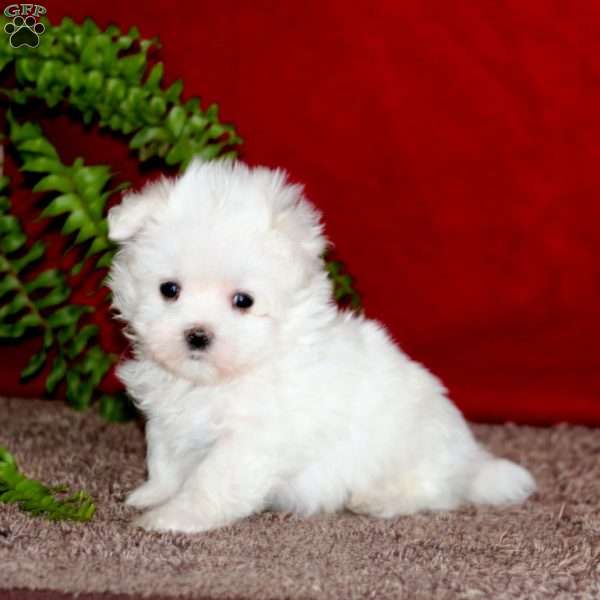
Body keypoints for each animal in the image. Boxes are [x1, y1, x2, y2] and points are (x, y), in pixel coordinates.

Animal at [106, 159, 536, 536]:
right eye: (169, 290)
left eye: (243, 301)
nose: (197, 334)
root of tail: (470, 463)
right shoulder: (167, 421)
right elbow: (162, 460)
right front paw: (152, 495)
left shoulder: (250, 440)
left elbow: (210, 482)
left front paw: (174, 517)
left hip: (417, 452)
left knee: (433, 492)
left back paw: (378, 499)